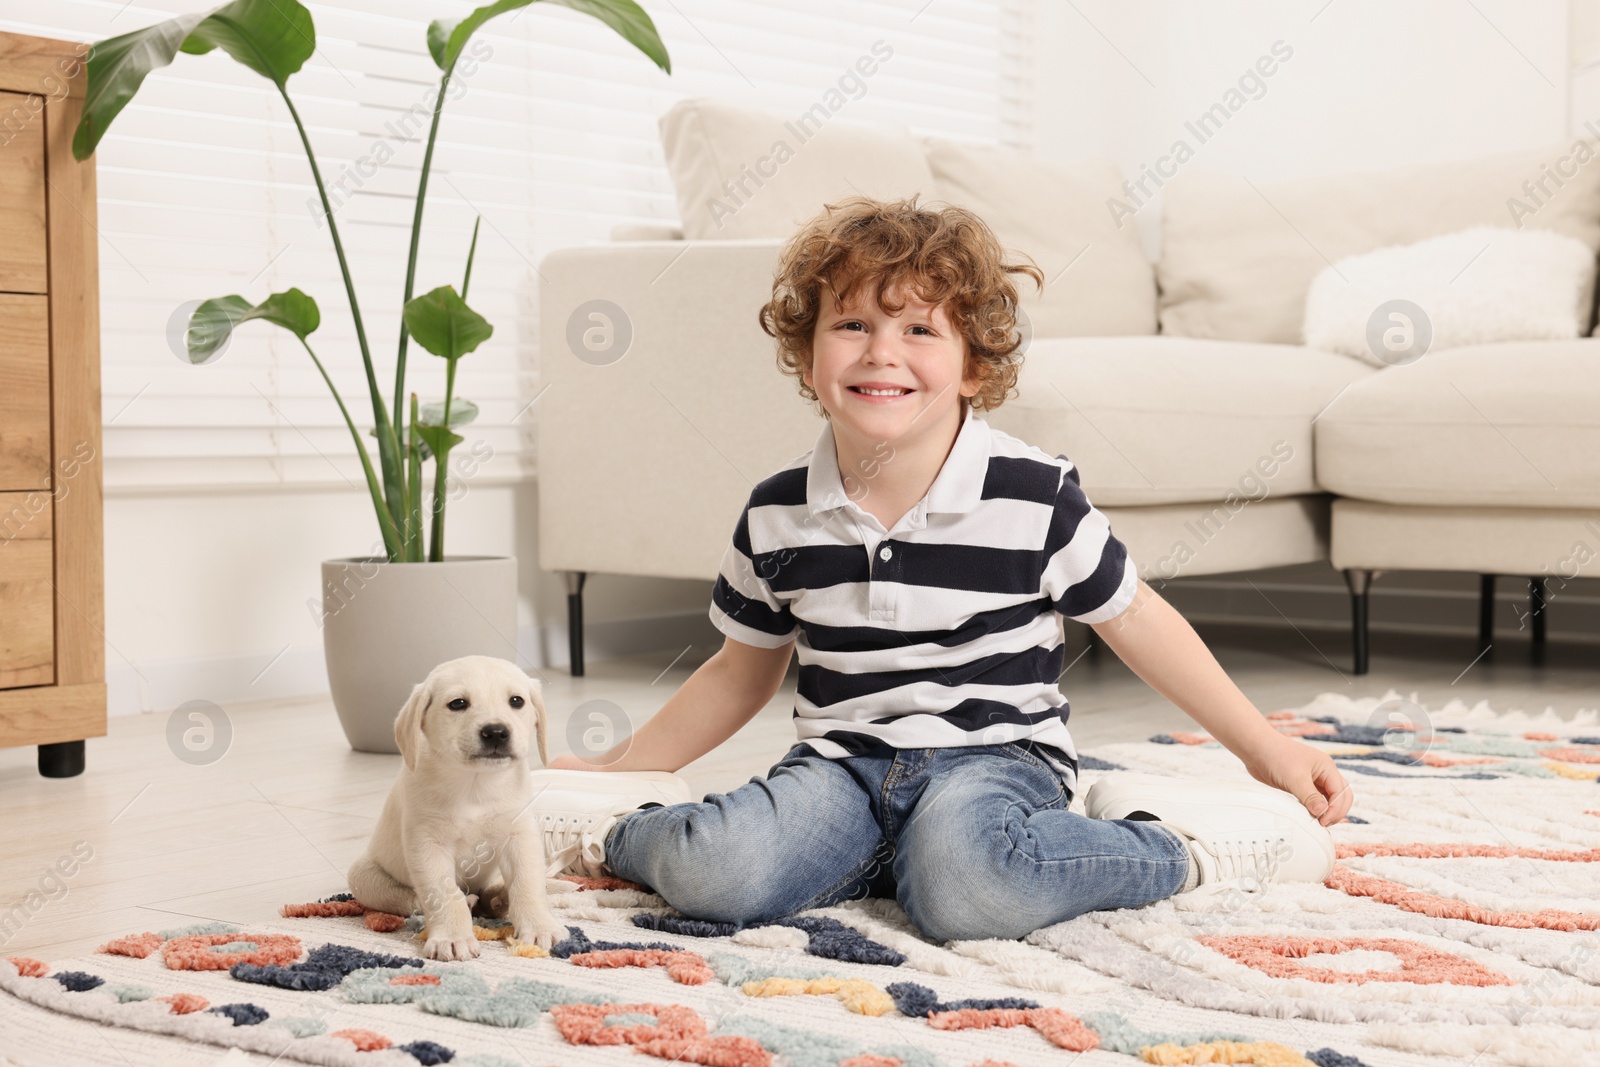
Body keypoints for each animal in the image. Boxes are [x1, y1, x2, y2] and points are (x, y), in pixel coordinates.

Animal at [345, 655, 569, 966]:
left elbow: (528, 884)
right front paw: (451, 937)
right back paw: (468, 900)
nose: (496, 732)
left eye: (517, 701)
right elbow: (442, 892)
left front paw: (539, 927)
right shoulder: (428, 843)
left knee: (496, 890)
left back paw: (500, 899)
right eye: (458, 704)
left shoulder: (519, 836)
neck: (476, 784)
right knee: (414, 899)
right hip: (362, 875)